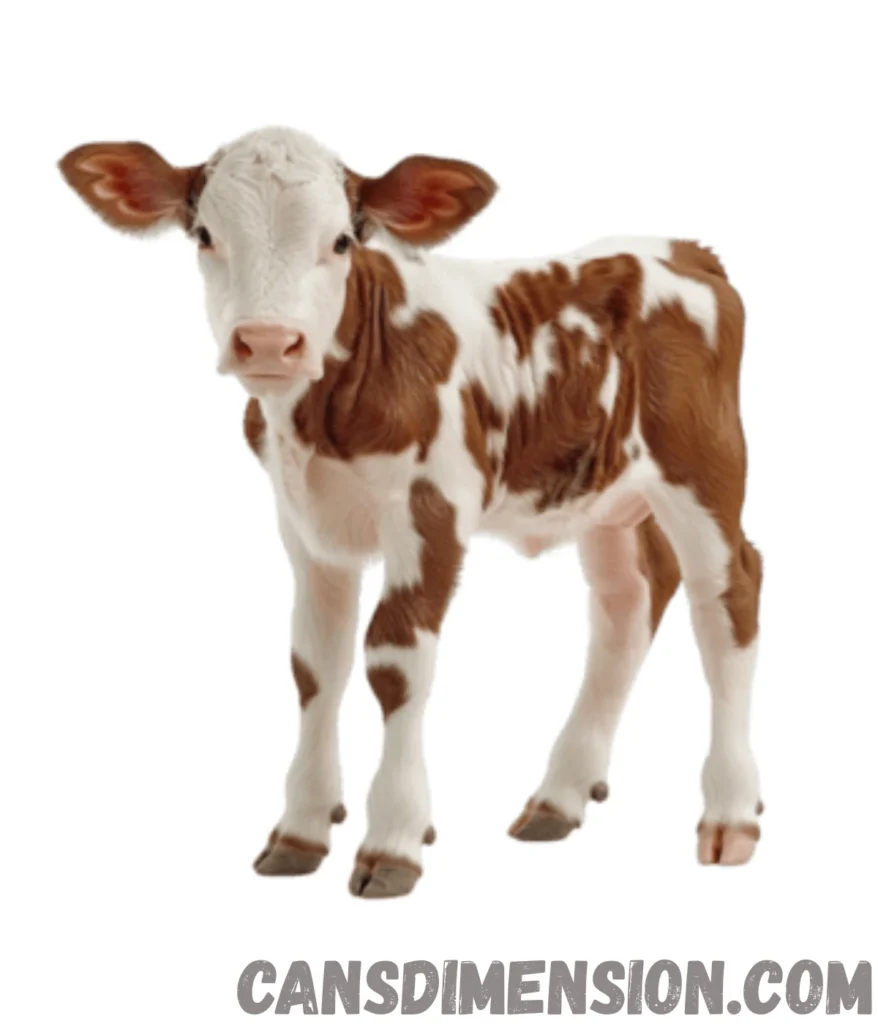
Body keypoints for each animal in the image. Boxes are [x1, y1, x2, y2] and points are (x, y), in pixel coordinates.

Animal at [59, 126, 763, 898]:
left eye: (342, 240)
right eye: (205, 235)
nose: (269, 341)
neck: (317, 420)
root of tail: (682, 248)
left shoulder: (432, 511)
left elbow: (394, 661)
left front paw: (393, 839)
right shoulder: (304, 525)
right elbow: (316, 664)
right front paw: (301, 829)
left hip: (704, 467)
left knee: (727, 599)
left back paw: (731, 812)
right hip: (601, 497)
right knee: (628, 604)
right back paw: (559, 796)